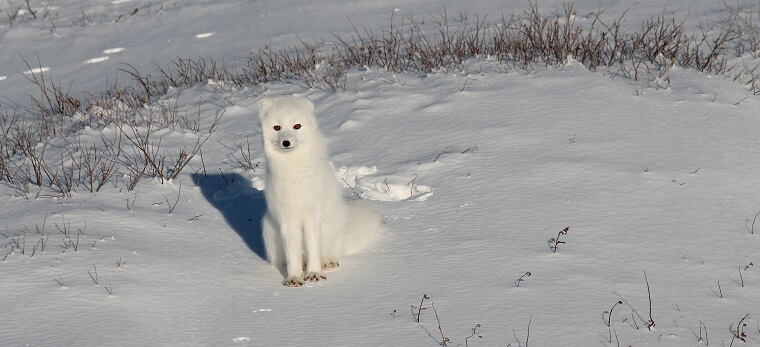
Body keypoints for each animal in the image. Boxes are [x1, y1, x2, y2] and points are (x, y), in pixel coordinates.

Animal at [260, 95, 380, 288]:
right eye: (277, 127)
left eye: (297, 126)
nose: (286, 142)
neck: (295, 175)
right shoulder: (287, 217)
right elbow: (292, 251)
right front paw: (294, 277)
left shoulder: (313, 214)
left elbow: (313, 246)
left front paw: (314, 273)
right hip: (268, 229)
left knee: (329, 251)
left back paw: (328, 262)